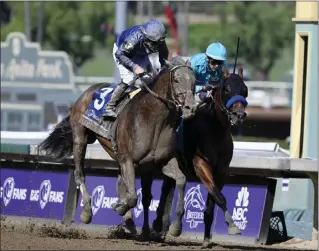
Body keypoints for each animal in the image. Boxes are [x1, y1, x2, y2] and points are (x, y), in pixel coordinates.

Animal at [37, 56, 198, 237]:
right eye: (176, 79)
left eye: (194, 81)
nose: (190, 108)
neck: (153, 119)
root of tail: (87, 92)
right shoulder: (128, 160)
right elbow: (133, 196)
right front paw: (119, 207)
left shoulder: (161, 161)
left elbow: (179, 181)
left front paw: (175, 227)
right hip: (81, 139)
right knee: (80, 174)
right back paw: (87, 212)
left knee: (122, 185)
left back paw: (131, 223)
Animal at [153, 67, 250, 247]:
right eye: (227, 89)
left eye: (245, 90)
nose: (238, 115)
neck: (214, 131)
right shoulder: (201, 165)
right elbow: (220, 198)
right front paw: (233, 226)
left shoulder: (221, 172)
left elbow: (212, 203)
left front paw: (206, 240)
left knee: (167, 190)